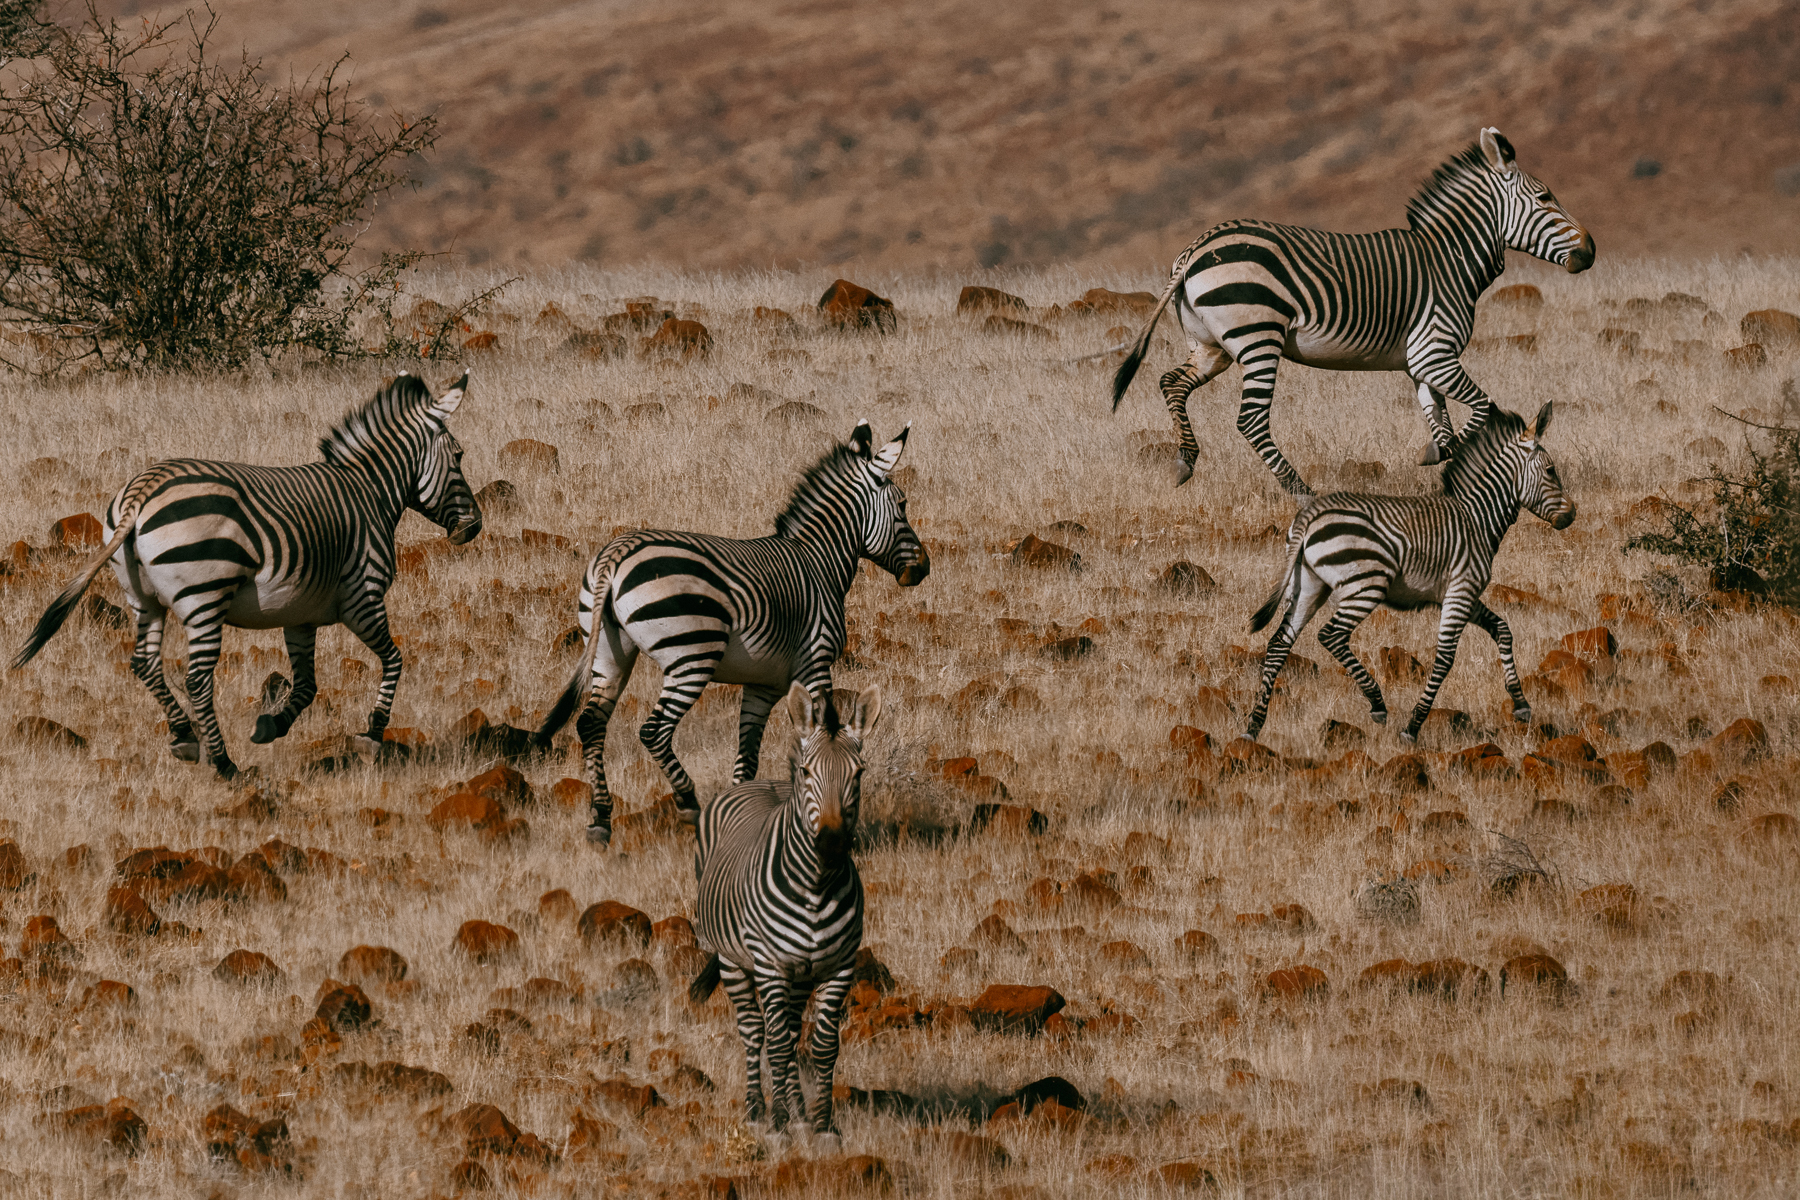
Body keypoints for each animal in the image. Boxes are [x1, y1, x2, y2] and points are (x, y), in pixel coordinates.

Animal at [10, 372, 481, 778]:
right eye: (459, 456)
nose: (474, 526)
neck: (369, 491)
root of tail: (143, 488)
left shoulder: (299, 612)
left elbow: (307, 685)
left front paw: (272, 726)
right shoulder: (362, 598)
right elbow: (394, 659)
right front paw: (372, 733)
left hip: (143, 598)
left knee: (144, 663)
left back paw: (184, 737)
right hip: (204, 597)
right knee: (198, 679)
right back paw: (224, 765)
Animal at [533, 421, 927, 845]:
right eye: (903, 505)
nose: (924, 567)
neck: (818, 563)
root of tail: (616, 555)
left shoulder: (762, 685)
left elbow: (747, 755)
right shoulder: (816, 663)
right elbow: (822, 738)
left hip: (609, 649)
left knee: (591, 723)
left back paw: (601, 819)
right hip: (692, 655)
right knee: (654, 730)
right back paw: (688, 803)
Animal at [687, 681, 879, 1145]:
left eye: (859, 774)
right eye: (807, 773)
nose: (831, 844)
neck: (816, 887)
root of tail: (758, 783)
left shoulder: (839, 967)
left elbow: (823, 1046)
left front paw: (823, 1125)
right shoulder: (771, 963)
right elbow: (773, 1042)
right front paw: (778, 1124)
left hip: (801, 974)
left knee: (790, 1031)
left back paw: (797, 1111)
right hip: (735, 960)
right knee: (755, 1030)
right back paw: (759, 1110)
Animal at [1110, 128, 1594, 496]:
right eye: (1545, 197)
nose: (1590, 251)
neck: (1450, 260)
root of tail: (1195, 249)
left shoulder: (1421, 364)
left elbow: (1440, 421)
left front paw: (1443, 462)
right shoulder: (1436, 354)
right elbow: (1481, 408)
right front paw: (1456, 460)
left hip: (1211, 346)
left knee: (1171, 383)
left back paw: (1185, 462)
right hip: (1258, 338)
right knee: (1250, 420)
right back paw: (1299, 489)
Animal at [1244, 402, 1573, 743]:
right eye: (1551, 470)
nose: (1571, 516)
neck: (1476, 518)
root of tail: (1310, 513)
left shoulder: (1457, 594)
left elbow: (1503, 630)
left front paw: (1520, 703)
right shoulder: (1461, 590)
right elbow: (1445, 659)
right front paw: (1413, 726)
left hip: (1308, 585)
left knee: (1279, 643)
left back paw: (1254, 726)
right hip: (1367, 584)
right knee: (1330, 635)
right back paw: (1377, 703)